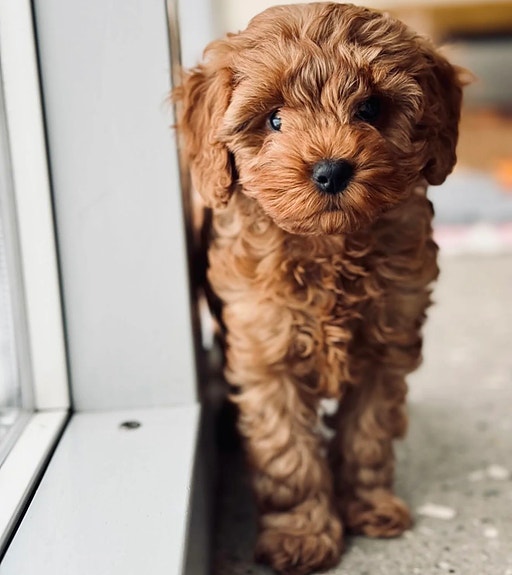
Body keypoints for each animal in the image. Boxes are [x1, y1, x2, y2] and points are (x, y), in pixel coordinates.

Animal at [174, 3, 464, 574]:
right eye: (274, 119)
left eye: (371, 108)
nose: (331, 170)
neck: (330, 246)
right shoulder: (266, 355)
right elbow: (288, 455)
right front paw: (301, 534)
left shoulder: (385, 348)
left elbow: (367, 436)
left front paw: (369, 507)